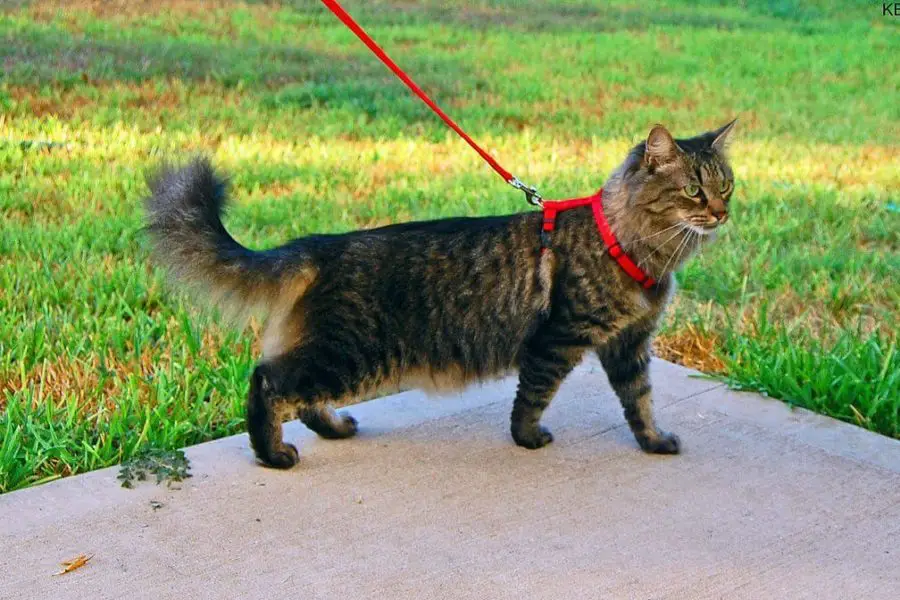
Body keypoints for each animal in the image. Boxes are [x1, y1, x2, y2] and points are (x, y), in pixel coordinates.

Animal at [144, 122, 736, 468]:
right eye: (692, 190)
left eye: (726, 184)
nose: (722, 212)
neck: (636, 248)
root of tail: (321, 244)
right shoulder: (557, 341)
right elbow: (533, 397)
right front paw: (527, 439)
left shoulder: (628, 344)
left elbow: (640, 401)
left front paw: (653, 442)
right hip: (352, 354)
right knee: (269, 381)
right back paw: (273, 454)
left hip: (341, 355)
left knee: (302, 396)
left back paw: (335, 429)